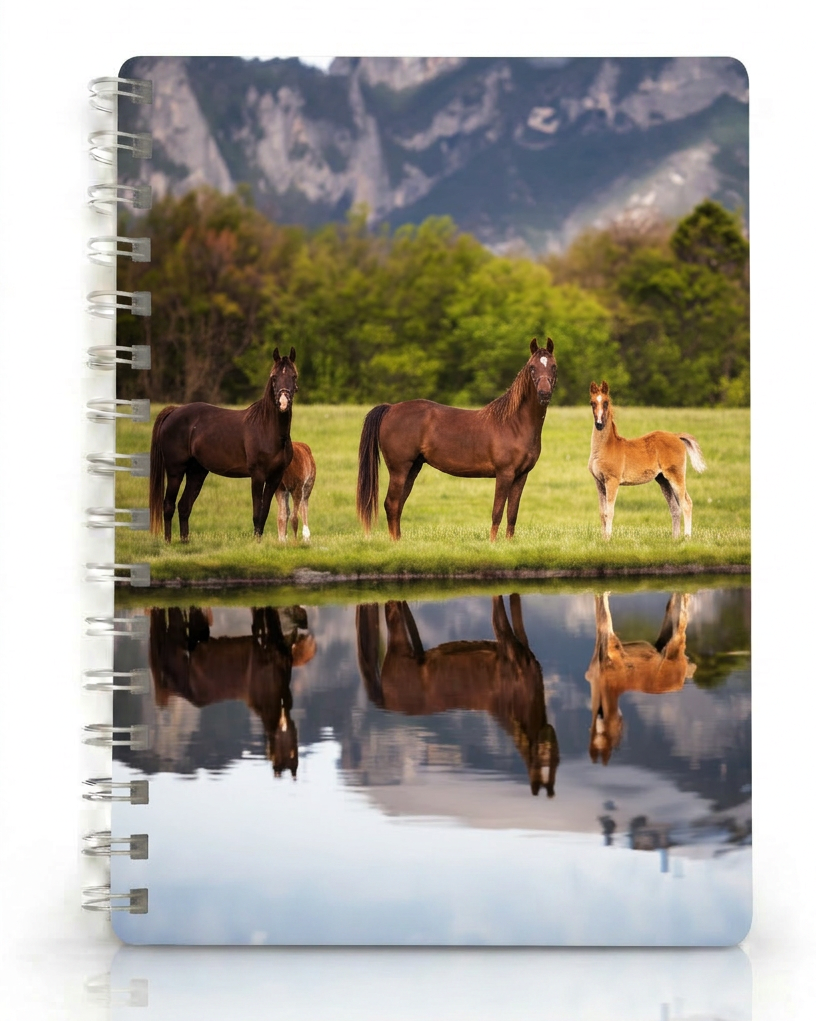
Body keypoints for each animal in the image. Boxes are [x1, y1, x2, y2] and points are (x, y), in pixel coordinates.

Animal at [149, 347, 298, 542]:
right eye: (273, 377)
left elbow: (264, 512)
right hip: (175, 471)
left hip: (197, 472)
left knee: (184, 506)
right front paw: (256, 543)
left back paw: (184, 542)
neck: (267, 429)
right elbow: (257, 513)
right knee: (168, 505)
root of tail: (174, 411)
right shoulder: (257, 475)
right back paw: (168, 542)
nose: (283, 403)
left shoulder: (275, 476)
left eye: (294, 376)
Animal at [355, 595, 559, 796]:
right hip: (399, 642)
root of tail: (387, 702)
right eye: (543, 764)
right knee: (392, 604)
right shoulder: (504, 636)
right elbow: (500, 610)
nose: (549, 741)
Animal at [357, 338, 558, 541]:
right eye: (532, 367)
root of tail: (390, 408)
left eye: (554, 366)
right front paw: (493, 543)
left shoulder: (521, 476)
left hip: (412, 468)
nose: (544, 393)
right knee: (391, 504)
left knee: (398, 505)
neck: (513, 423)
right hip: (399, 469)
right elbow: (497, 512)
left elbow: (512, 514)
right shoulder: (505, 473)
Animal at [585, 591, 696, 765]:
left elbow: (603, 612)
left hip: (672, 646)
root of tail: (679, 682)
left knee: (680, 614)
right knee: (676, 610)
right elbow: (602, 611)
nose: (622, 726)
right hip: (669, 643)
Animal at [588, 381, 706, 539]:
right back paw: (674, 539)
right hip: (663, 480)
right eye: (592, 403)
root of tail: (676, 436)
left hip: (676, 475)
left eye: (606, 403)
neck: (605, 447)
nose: (599, 424)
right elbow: (602, 513)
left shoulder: (612, 480)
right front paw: (603, 539)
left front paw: (608, 539)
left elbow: (610, 512)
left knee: (686, 503)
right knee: (675, 508)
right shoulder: (599, 482)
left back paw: (686, 537)